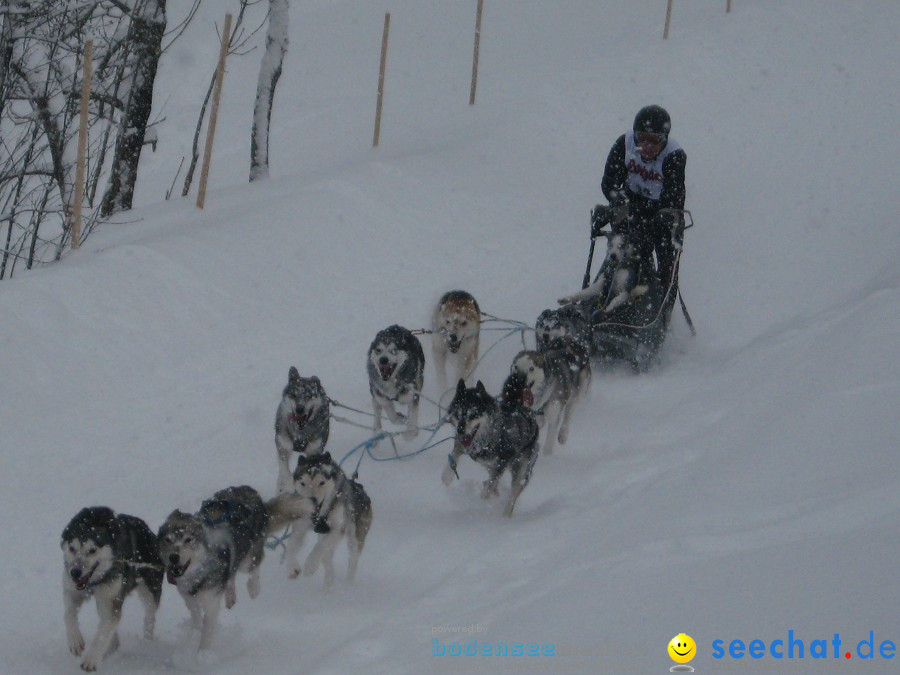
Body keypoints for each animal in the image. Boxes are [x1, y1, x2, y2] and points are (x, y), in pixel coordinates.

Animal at [61, 508, 163, 672]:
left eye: (92, 550)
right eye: (72, 548)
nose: (75, 572)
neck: (94, 582)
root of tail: (151, 534)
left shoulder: (111, 600)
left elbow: (102, 634)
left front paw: (91, 659)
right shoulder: (73, 591)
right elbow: (68, 615)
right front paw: (75, 641)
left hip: (150, 592)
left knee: (149, 617)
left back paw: (147, 642)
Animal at [157, 486, 268, 648]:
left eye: (188, 539)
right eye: (167, 539)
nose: (173, 557)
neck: (197, 574)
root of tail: (247, 488)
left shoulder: (211, 603)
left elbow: (207, 631)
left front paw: (203, 653)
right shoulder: (188, 598)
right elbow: (196, 617)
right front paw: (195, 631)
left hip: (248, 558)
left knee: (255, 563)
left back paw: (254, 588)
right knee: (231, 574)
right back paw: (230, 596)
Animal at [268, 454, 372, 592]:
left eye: (321, 482)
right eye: (303, 483)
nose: (312, 500)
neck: (319, 515)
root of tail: (361, 489)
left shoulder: (337, 528)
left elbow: (320, 546)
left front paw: (310, 565)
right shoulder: (300, 527)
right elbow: (290, 546)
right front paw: (292, 567)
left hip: (355, 537)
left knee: (352, 560)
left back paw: (347, 586)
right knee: (326, 558)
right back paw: (328, 585)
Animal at [440, 378, 536, 516]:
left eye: (473, 414)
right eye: (458, 414)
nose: (460, 430)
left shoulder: (503, 460)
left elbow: (490, 485)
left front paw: (484, 497)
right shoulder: (464, 445)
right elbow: (455, 452)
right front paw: (447, 475)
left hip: (521, 470)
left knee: (513, 493)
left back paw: (505, 514)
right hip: (489, 466)